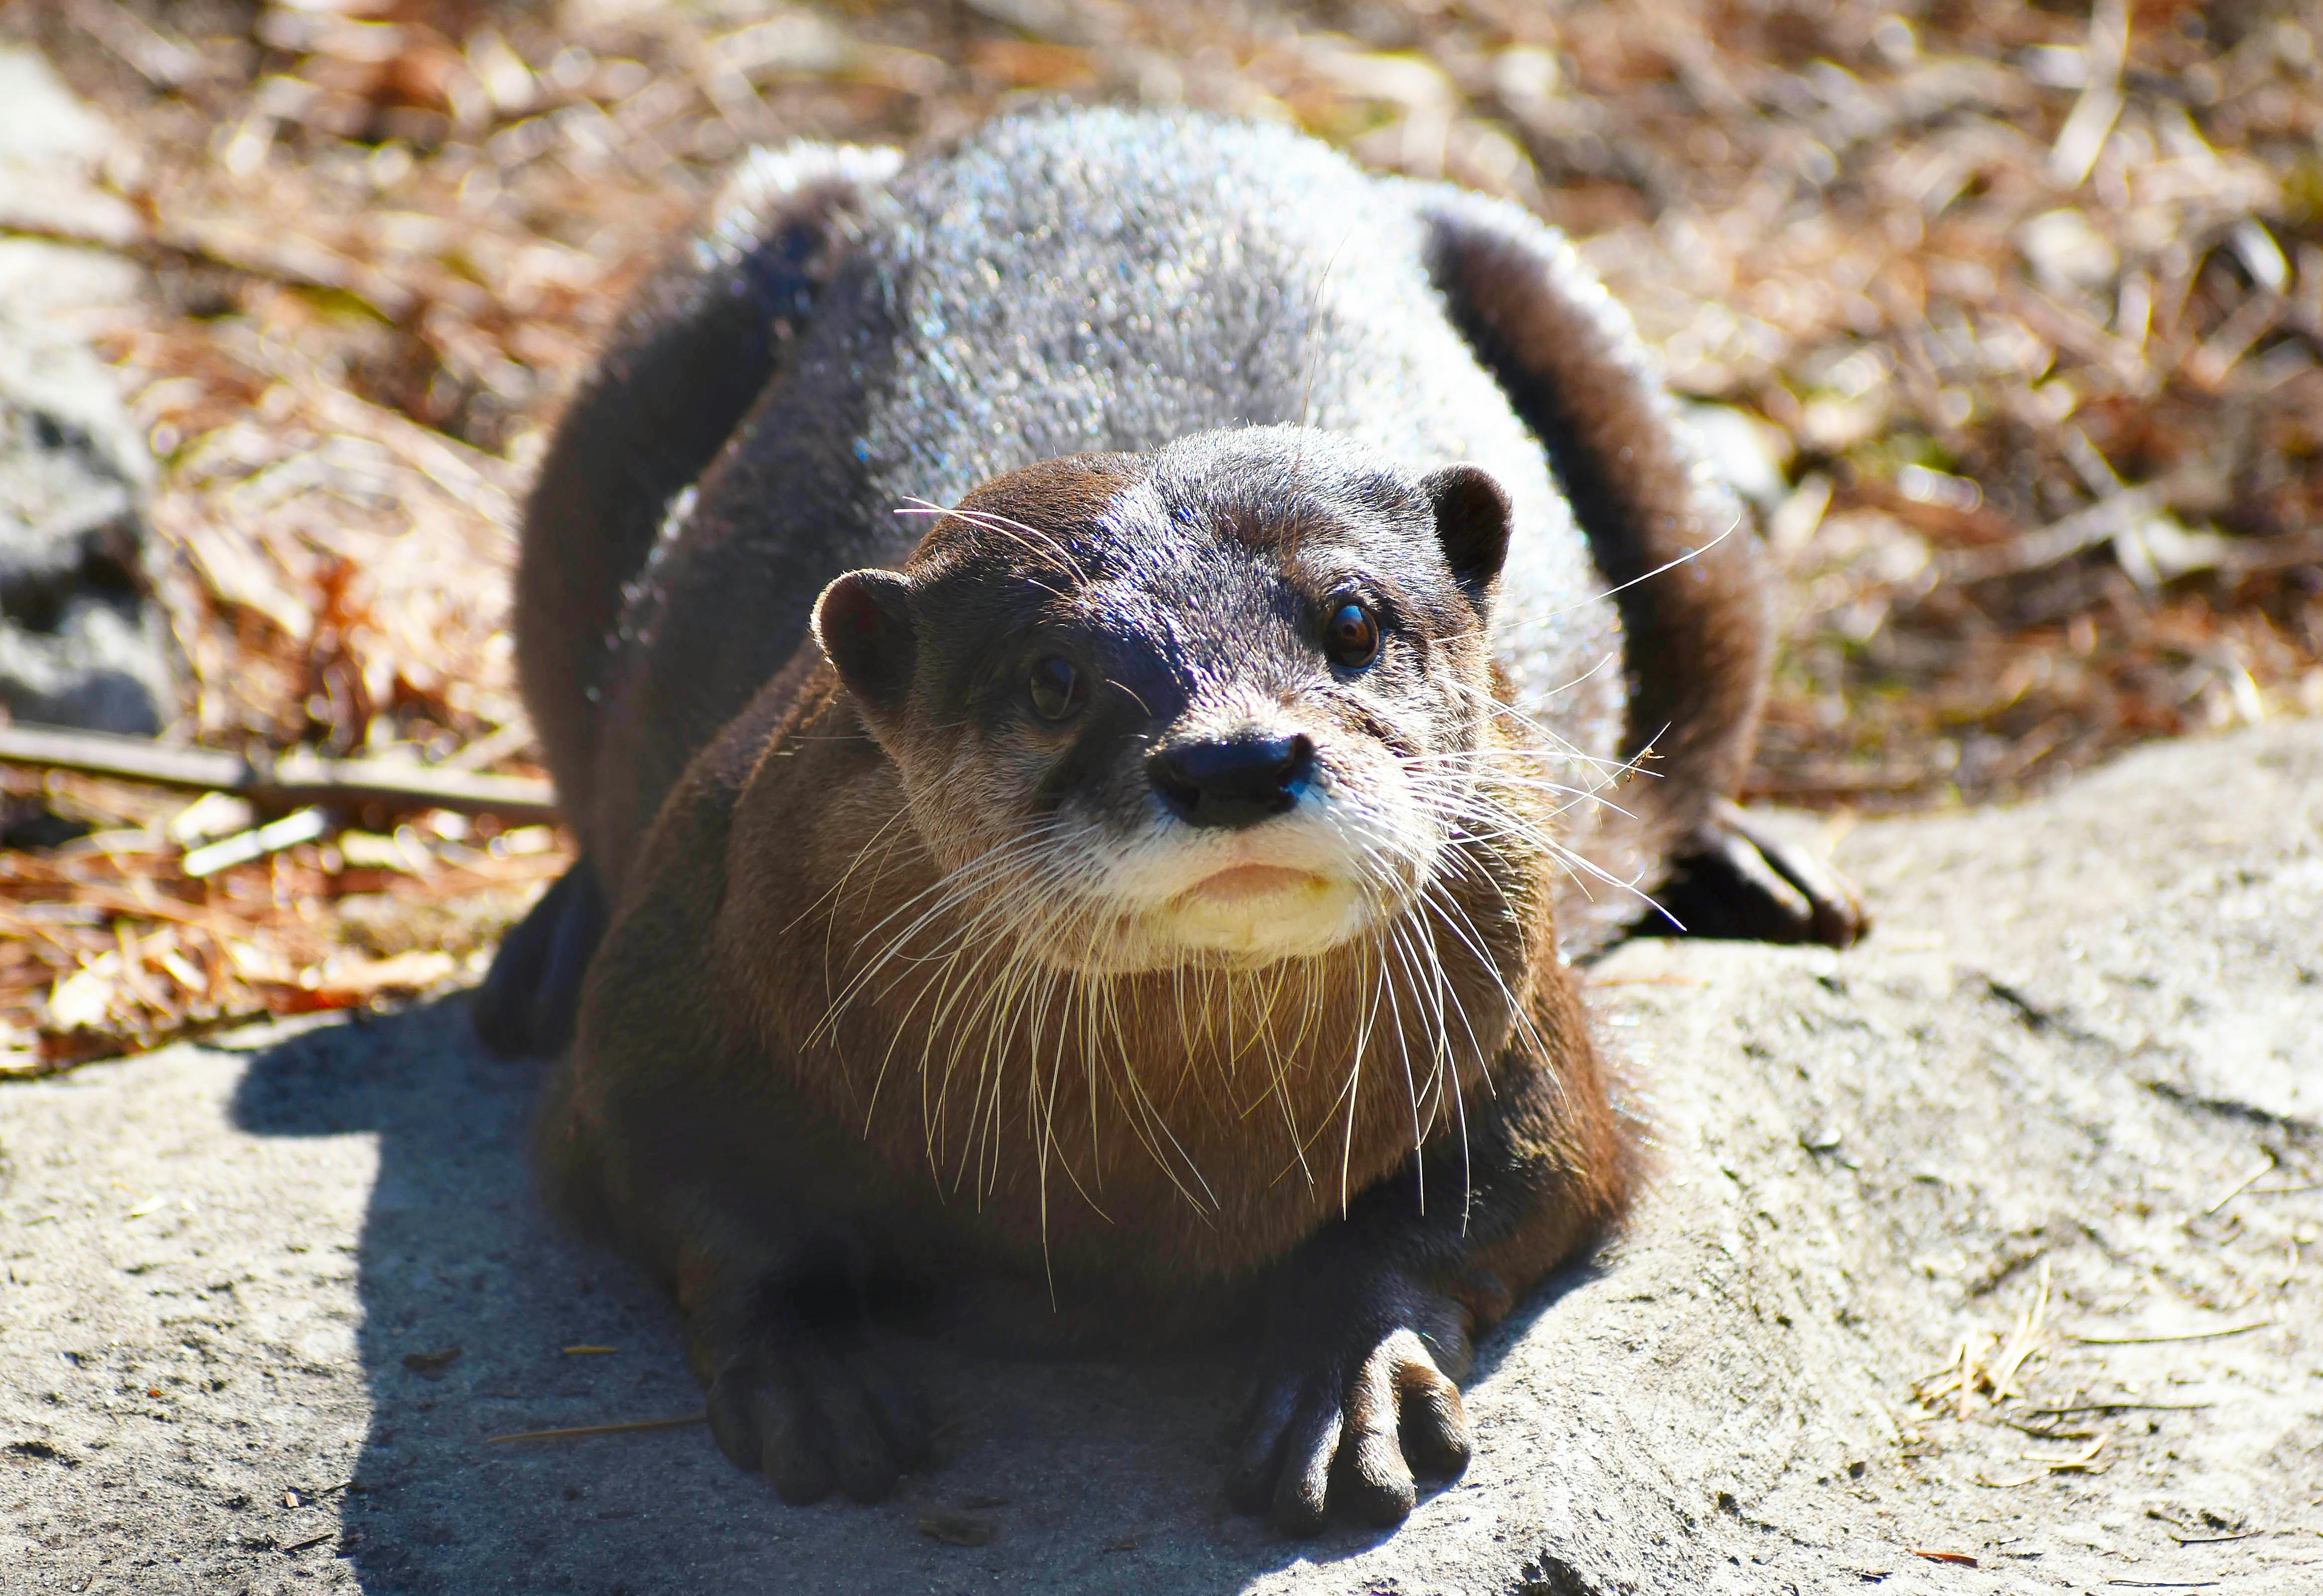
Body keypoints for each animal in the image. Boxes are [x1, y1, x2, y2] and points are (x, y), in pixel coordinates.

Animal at [474, 107, 1861, 1533]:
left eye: (1351, 619)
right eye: (1053, 677)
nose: (1237, 758)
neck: (1158, 1174)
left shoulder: (1525, 1016)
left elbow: (1533, 1173)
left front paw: (1348, 1378)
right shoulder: (677, 978)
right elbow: (673, 1177)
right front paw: (810, 1367)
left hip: (1591, 351)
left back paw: (1756, 865)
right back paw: (545, 950)